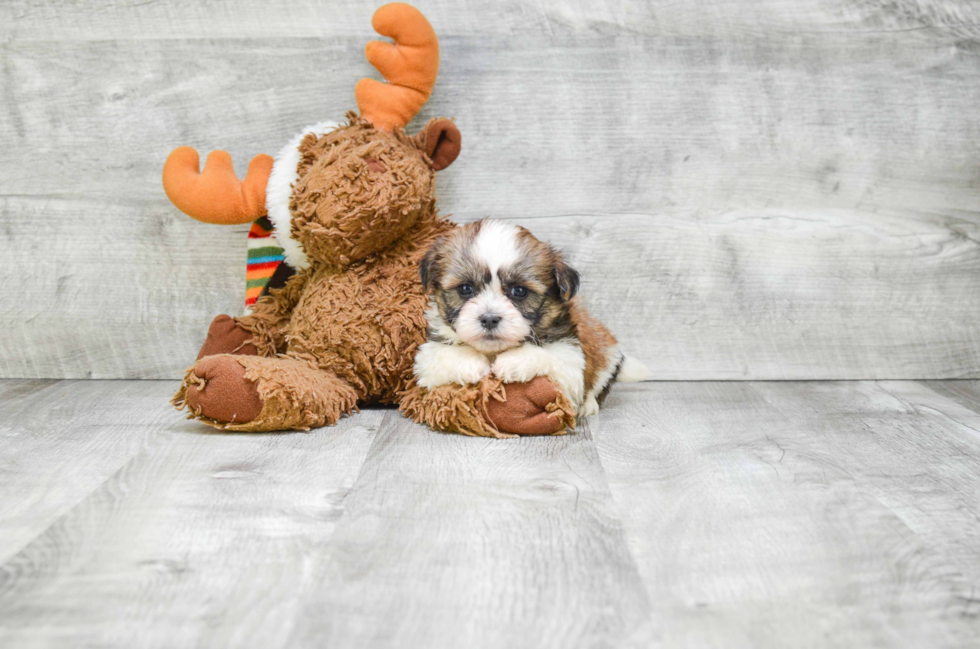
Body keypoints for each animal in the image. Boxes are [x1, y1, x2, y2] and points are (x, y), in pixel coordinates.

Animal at [412, 220, 648, 418]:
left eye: (519, 291)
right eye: (465, 289)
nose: (489, 319)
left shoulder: (571, 358)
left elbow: (550, 356)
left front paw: (514, 361)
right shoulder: (426, 357)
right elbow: (440, 356)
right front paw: (471, 363)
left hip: (605, 350)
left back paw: (589, 405)